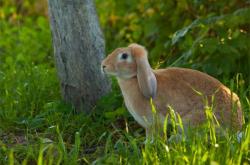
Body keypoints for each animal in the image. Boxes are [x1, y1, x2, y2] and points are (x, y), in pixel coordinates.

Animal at [101, 42, 242, 138]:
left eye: (124, 56)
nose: (103, 66)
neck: (135, 77)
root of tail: (237, 127)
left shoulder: (153, 124)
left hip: (192, 121)